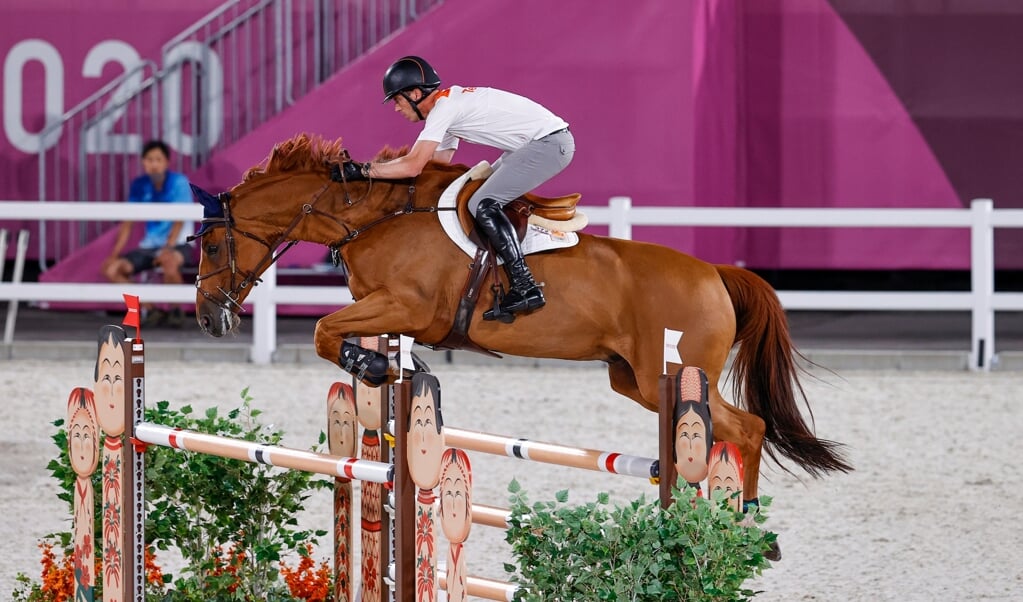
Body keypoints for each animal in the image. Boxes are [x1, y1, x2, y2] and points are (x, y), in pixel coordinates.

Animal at [190, 135, 847, 511]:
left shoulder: (407, 306)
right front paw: (389, 366)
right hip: (635, 379)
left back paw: (743, 516)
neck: (377, 217)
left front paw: (373, 364)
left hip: (679, 372)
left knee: (748, 428)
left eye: (214, 243)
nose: (208, 317)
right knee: (734, 429)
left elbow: (324, 330)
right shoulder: (390, 310)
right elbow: (345, 335)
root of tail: (714, 273)